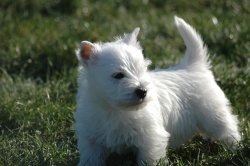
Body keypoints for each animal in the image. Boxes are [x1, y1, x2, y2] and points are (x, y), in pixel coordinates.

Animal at [74, 16, 240, 165]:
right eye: (118, 75)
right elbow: (91, 158)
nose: (142, 91)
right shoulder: (91, 139)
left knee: (228, 128)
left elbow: (149, 159)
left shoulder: (150, 138)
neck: (115, 110)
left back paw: (234, 147)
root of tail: (193, 66)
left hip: (213, 114)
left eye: (142, 69)